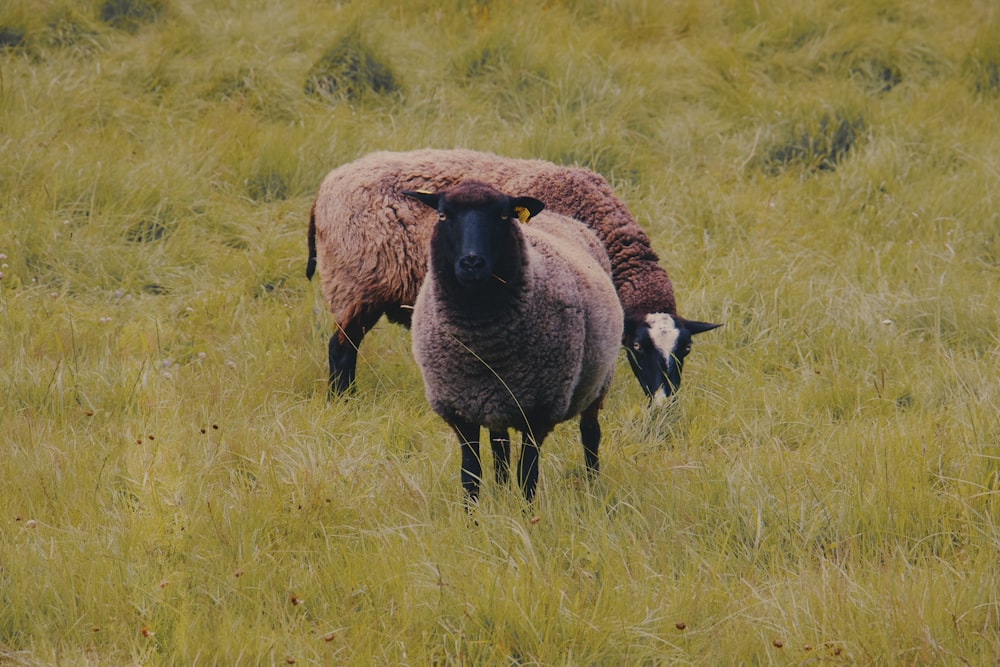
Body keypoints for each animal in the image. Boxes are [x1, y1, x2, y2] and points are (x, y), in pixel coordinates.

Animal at [306, 148, 720, 402]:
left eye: (685, 350)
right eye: (637, 348)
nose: (664, 406)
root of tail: (327, 185)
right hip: (355, 285)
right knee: (341, 351)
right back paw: (345, 402)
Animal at [402, 180, 620, 504]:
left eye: (502, 216)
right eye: (443, 215)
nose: (472, 262)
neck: (482, 344)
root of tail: (558, 216)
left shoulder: (539, 411)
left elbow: (527, 475)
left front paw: (528, 514)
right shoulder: (459, 410)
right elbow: (470, 475)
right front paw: (473, 515)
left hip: (597, 383)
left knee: (590, 434)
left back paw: (593, 486)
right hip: (498, 402)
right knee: (500, 446)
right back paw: (501, 488)